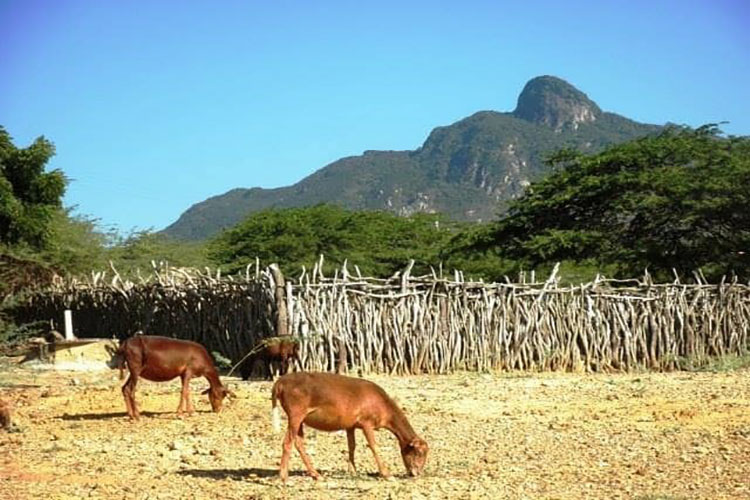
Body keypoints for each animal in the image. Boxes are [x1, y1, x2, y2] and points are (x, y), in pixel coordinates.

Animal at [270, 372, 428, 480]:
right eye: (419, 453)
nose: (417, 473)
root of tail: (280, 382)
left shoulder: (350, 425)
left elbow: (352, 446)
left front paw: (352, 470)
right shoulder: (367, 423)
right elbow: (374, 446)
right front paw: (386, 473)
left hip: (300, 419)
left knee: (299, 443)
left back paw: (315, 474)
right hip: (296, 414)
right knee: (287, 443)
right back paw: (283, 475)